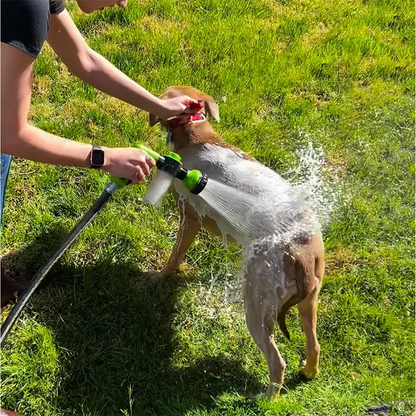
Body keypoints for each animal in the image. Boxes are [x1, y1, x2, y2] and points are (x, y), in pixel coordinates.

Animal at [150, 85, 324, 400]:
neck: (198, 136)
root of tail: (302, 254)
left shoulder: (189, 217)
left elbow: (174, 257)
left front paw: (157, 278)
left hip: (257, 306)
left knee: (277, 361)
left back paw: (266, 400)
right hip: (309, 301)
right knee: (314, 344)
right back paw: (308, 372)